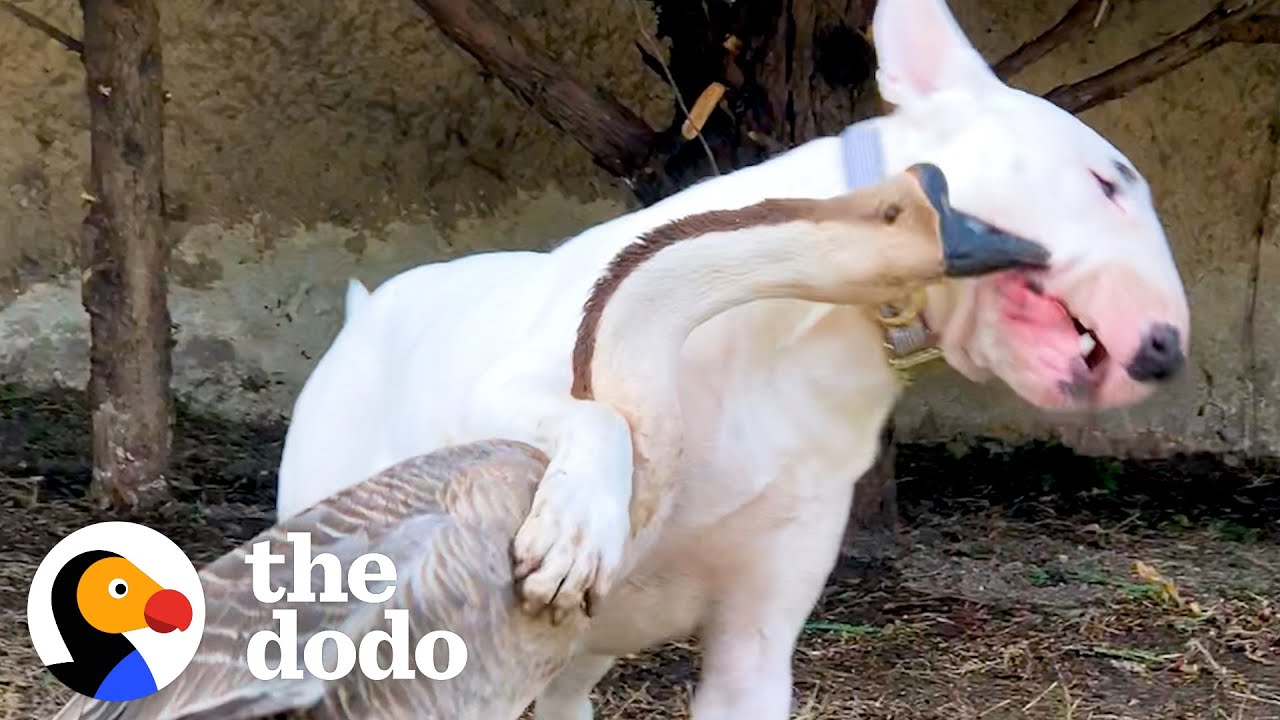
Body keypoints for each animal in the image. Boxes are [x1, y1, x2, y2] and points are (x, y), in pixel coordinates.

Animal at [277, 2, 1187, 712]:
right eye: (1106, 182)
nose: (1168, 351)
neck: (790, 347)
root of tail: (365, 309)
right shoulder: (510, 389)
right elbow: (597, 415)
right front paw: (575, 534)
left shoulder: (757, 637)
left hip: (582, 655)